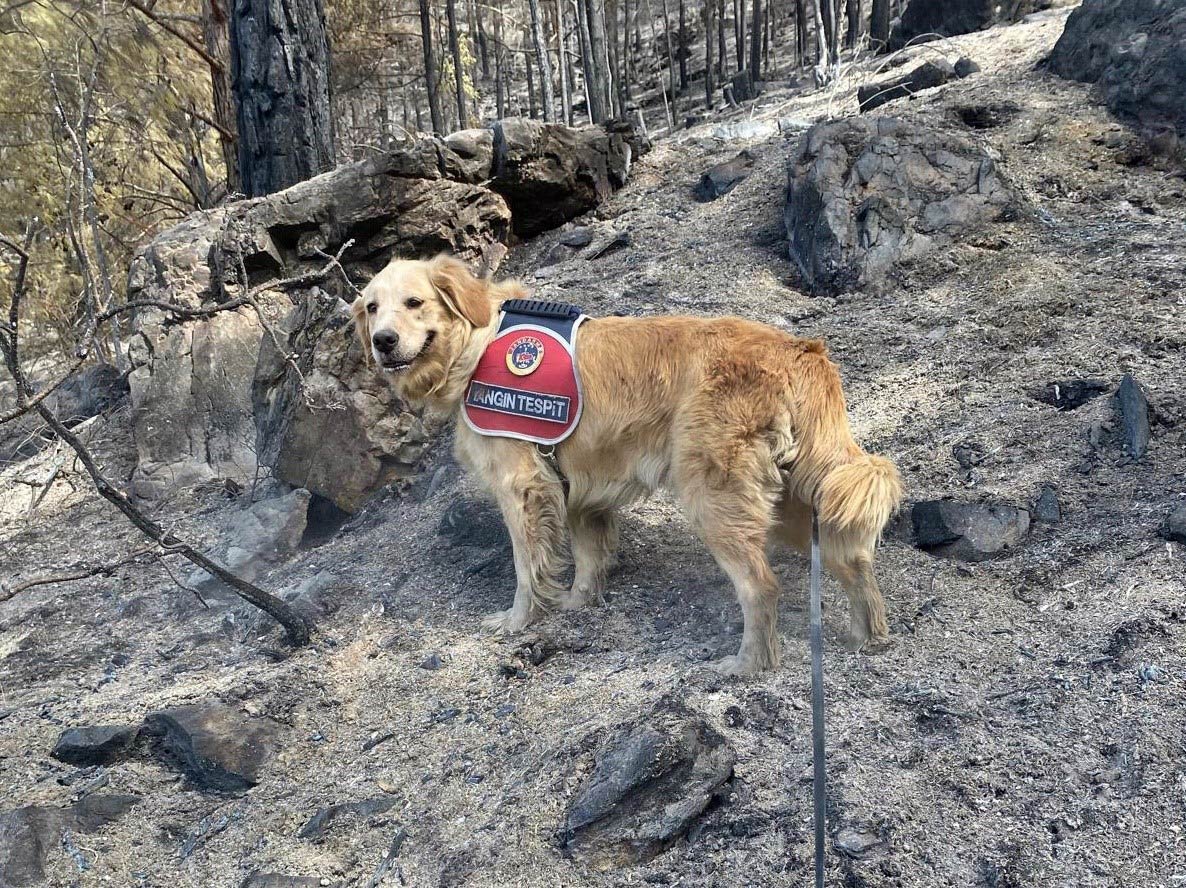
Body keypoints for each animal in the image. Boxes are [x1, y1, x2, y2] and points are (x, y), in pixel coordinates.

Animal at [351, 254, 896, 673]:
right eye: (372, 308)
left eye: (415, 302)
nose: (382, 341)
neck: (475, 343)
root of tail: (798, 350)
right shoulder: (575, 491)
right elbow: (588, 557)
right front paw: (577, 603)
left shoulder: (521, 486)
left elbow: (527, 568)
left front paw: (519, 621)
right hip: (800, 497)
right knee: (852, 562)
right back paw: (865, 637)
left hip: (715, 498)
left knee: (761, 587)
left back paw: (748, 664)